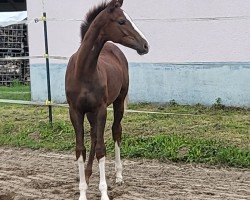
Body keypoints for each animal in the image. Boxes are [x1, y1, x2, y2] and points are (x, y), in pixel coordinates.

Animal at [65, 0, 149, 199]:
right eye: (121, 21)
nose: (145, 45)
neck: (83, 71)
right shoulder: (75, 111)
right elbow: (80, 149)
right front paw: (82, 191)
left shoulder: (101, 109)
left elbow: (101, 150)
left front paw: (103, 192)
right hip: (90, 113)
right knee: (95, 136)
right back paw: (88, 175)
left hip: (118, 102)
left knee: (116, 131)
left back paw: (118, 176)